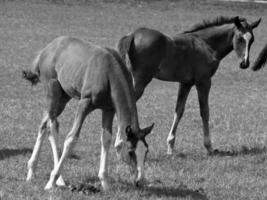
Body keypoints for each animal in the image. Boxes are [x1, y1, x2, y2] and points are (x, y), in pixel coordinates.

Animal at [22, 36, 155, 191]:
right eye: (130, 151)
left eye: (146, 151)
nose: (140, 180)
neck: (108, 71)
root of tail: (47, 48)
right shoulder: (84, 104)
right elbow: (71, 138)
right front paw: (50, 182)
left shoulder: (109, 109)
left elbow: (106, 139)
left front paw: (105, 182)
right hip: (52, 93)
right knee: (50, 125)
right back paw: (52, 177)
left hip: (63, 97)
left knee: (46, 124)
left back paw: (37, 173)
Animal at [119, 16, 262, 155]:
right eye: (239, 38)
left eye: (252, 40)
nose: (245, 63)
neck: (206, 44)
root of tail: (133, 35)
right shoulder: (203, 81)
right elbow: (204, 111)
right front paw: (209, 146)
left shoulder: (186, 83)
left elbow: (179, 111)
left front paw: (170, 147)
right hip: (141, 80)